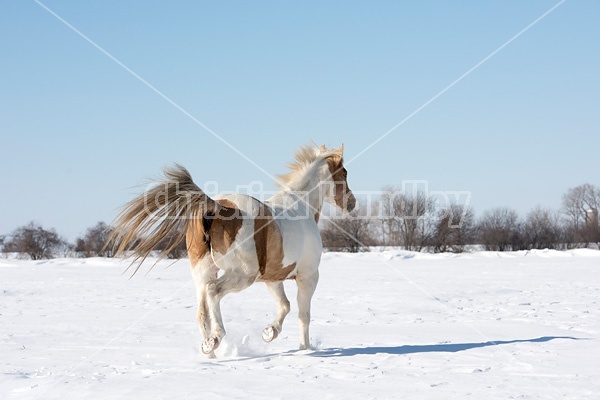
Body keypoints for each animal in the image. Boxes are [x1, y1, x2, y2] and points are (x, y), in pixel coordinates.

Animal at [108, 143, 354, 356]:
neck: (302, 206)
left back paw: (209, 353)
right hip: (242, 275)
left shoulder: (273, 278)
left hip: (204, 271)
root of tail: (216, 206)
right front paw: (304, 348)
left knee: (202, 311)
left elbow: (284, 305)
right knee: (213, 292)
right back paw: (216, 338)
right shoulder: (308, 277)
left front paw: (269, 333)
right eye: (344, 173)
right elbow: (304, 315)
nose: (351, 203)